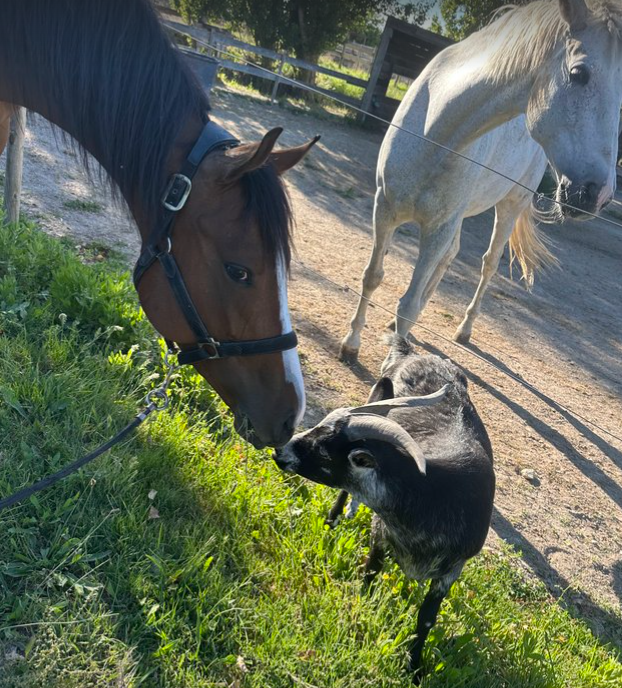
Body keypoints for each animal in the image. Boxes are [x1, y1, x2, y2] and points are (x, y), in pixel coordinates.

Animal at [340, 0, 622, 362]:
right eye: (578, 74)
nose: (598, 195)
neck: (435, 129)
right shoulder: (385, 208)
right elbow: (372, 276)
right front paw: (351, 343)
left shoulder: (439, 226)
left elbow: (407, 305)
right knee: (450, 256)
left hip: (509, 206)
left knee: (488, 263)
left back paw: (464, 329)